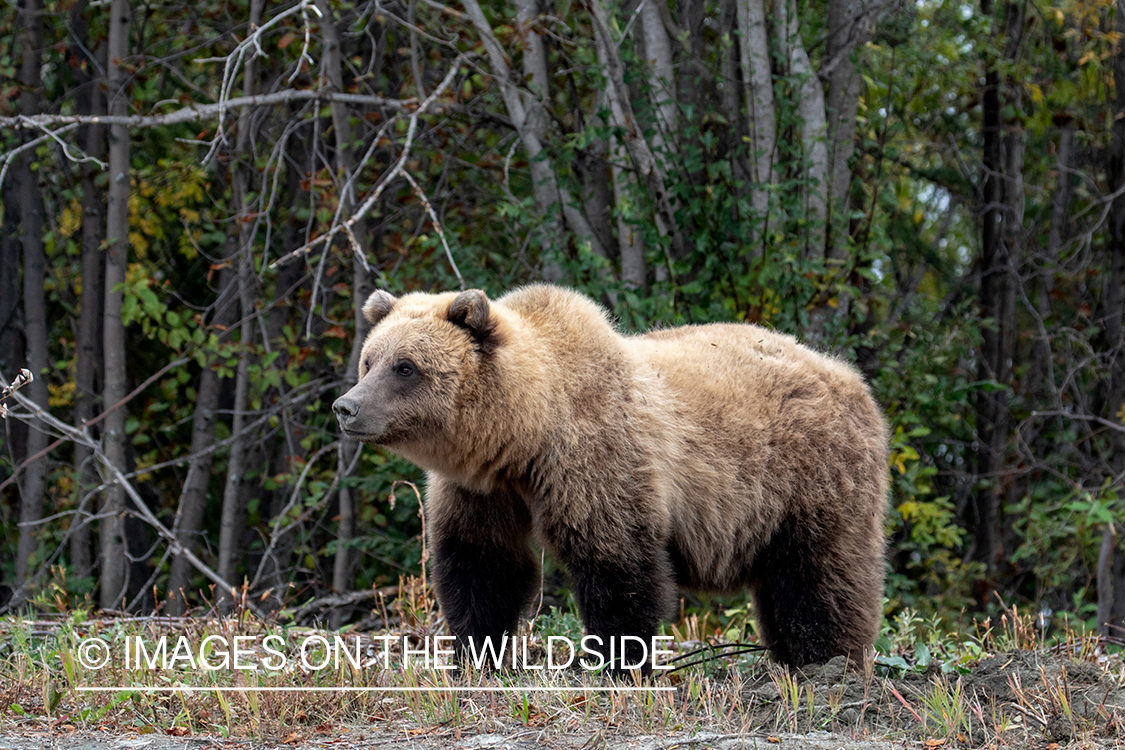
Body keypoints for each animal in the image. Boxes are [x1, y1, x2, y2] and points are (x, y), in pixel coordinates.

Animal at [333, 284, 886, 670]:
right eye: (370, 359)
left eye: (406, 367)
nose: (346, 407)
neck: (524, 436)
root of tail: (850, 377)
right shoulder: (482, 490)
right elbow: (482, 565)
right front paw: (475, 658)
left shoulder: (597, 460)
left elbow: (616, 565)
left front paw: (617, 664)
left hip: (808, 477)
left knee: (821, 576)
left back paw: (826, 662)